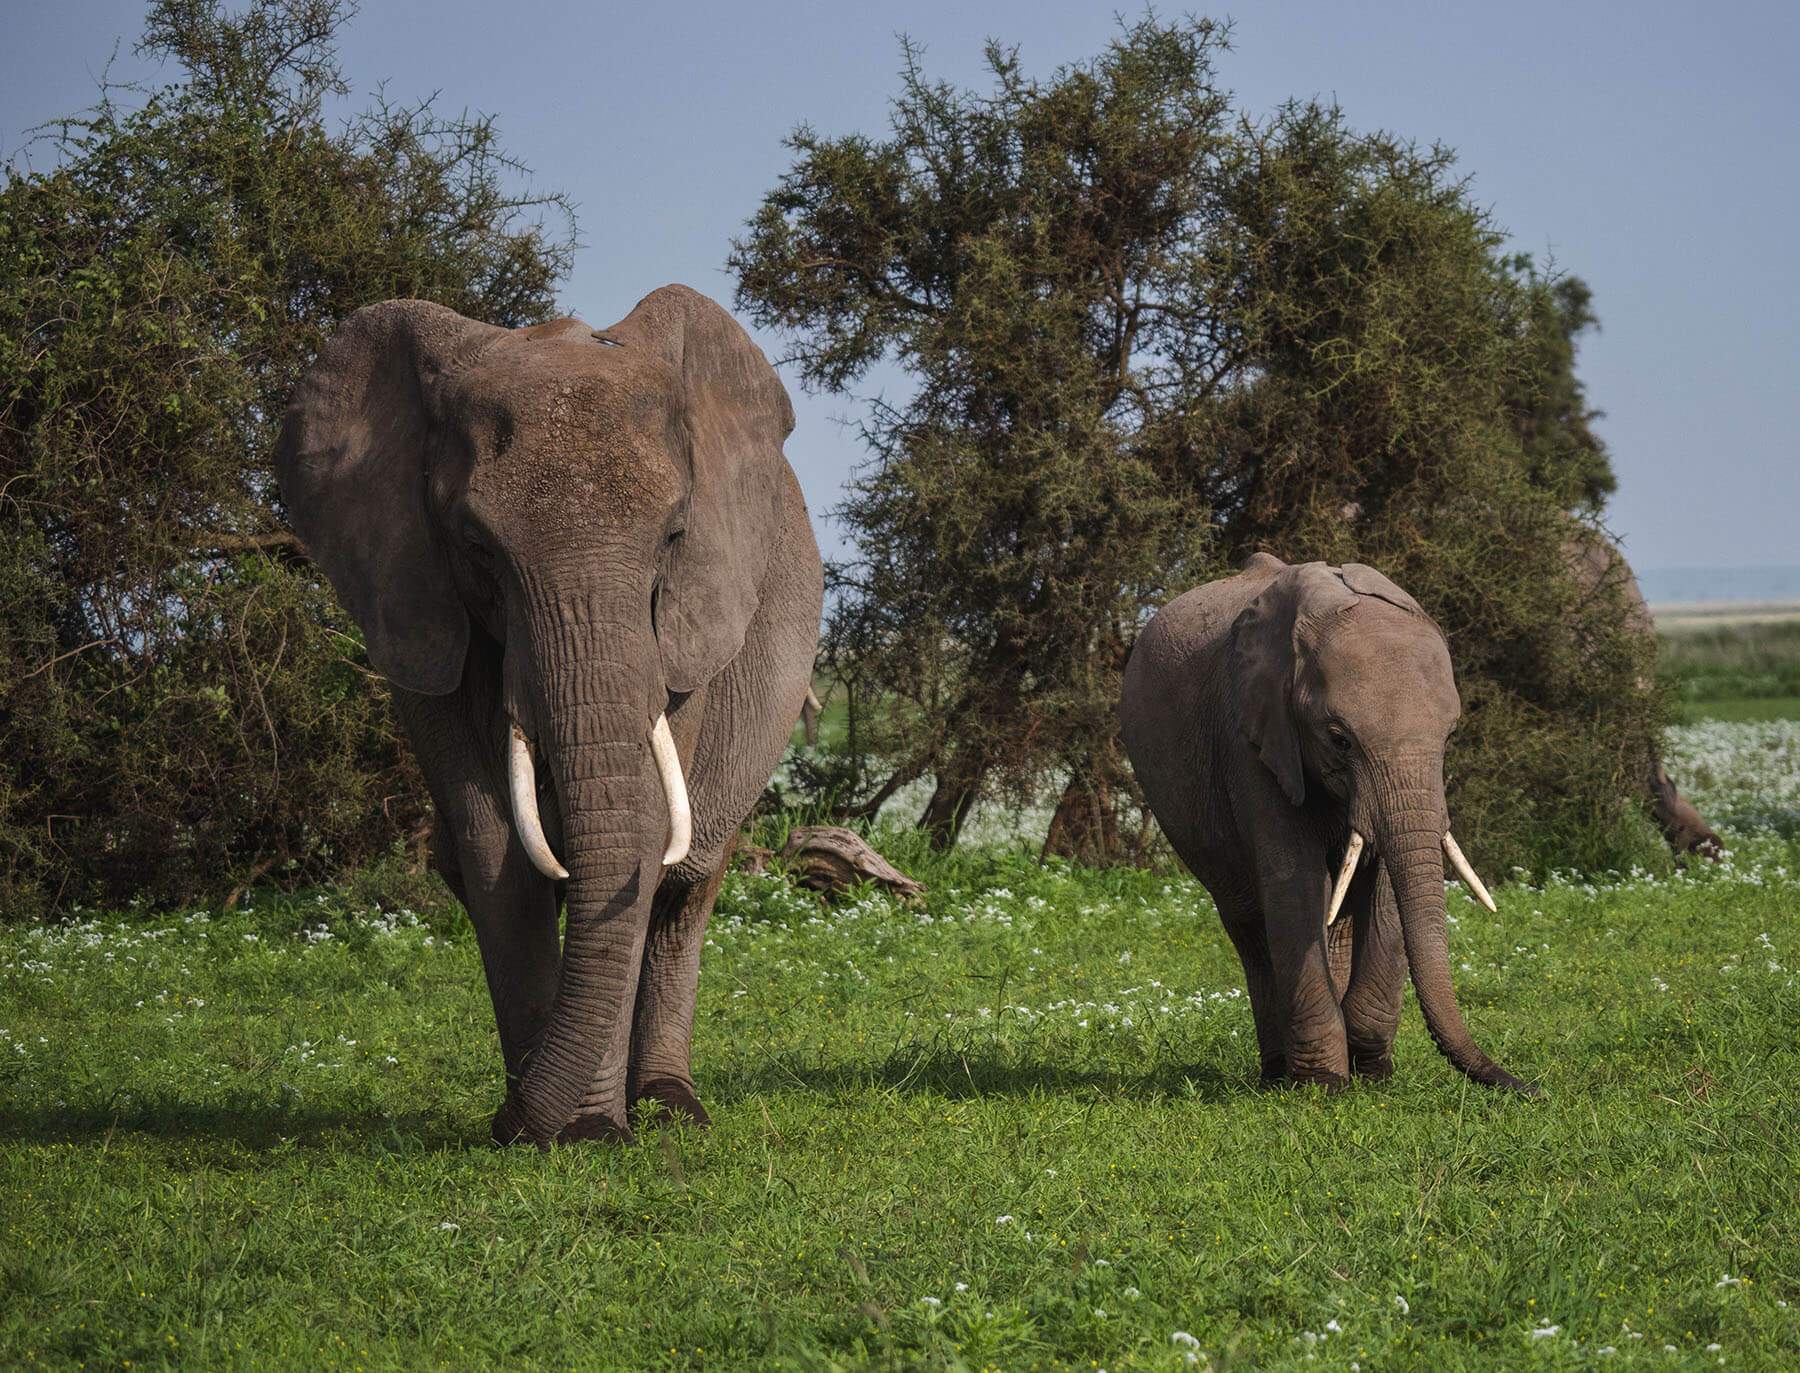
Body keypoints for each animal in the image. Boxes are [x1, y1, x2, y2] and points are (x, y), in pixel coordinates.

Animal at [277, 284, 823, 1146]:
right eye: (477, 545)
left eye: (674, 534)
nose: (505, 1124)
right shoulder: (419, 600)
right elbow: (492, 845)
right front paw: (548, 1127)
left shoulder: (685, 627)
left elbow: (643, 836)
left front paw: (589, 1131)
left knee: (686, 890)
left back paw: (670, 1107)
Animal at [1120, 553, 1533, 1093]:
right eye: (1339, 740)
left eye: (1449, 738)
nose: (1531, 1087)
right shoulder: (1251, 736)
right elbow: (1293, 883)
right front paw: (1324, 1084)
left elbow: (1384, 889)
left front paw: (1372, 1073)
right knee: (1249, 922)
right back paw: (1278, 1073)